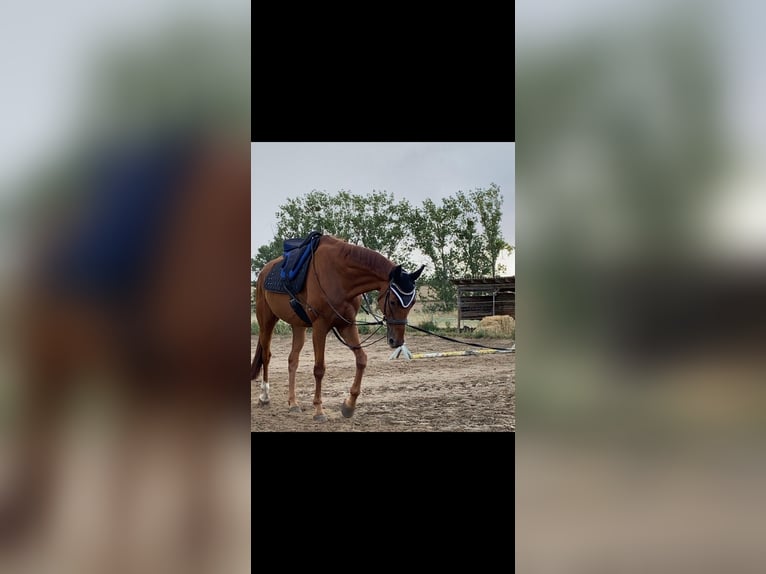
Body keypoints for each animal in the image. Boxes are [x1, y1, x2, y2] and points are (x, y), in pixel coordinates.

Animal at [251, 235, 424, 422]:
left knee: (292, 360)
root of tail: (264, 271)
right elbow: (319, 369)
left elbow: (361, 359)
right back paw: (264, 397)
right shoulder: (320, 327)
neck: (341, 277)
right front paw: (319, 411)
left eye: (412, 303)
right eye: (393, 301)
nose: (396, 341)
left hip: (298, 326)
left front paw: (349, 406)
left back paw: (293, 403)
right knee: (266, 356)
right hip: (267, 321)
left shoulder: (346, 325)